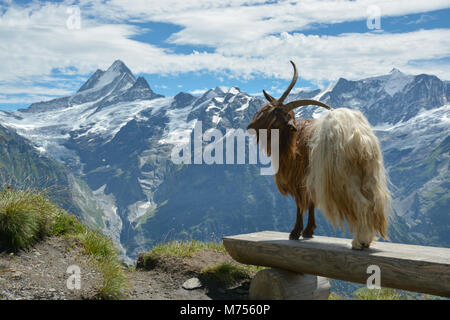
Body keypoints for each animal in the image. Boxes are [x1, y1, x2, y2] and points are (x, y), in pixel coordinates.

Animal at [248, 61, 392, 249]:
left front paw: (295, 232)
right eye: (265, 111)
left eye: (274, 118)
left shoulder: (299, 178)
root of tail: (359, 138)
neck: (292, 138)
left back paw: (359, 241)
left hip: (346, 178)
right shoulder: (311, 179)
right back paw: (366, 240)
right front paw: (309, 231)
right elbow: (311, 203)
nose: (251, 126)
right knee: (373, 203)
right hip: (368, 174)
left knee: (363, 203)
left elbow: (300, 204)